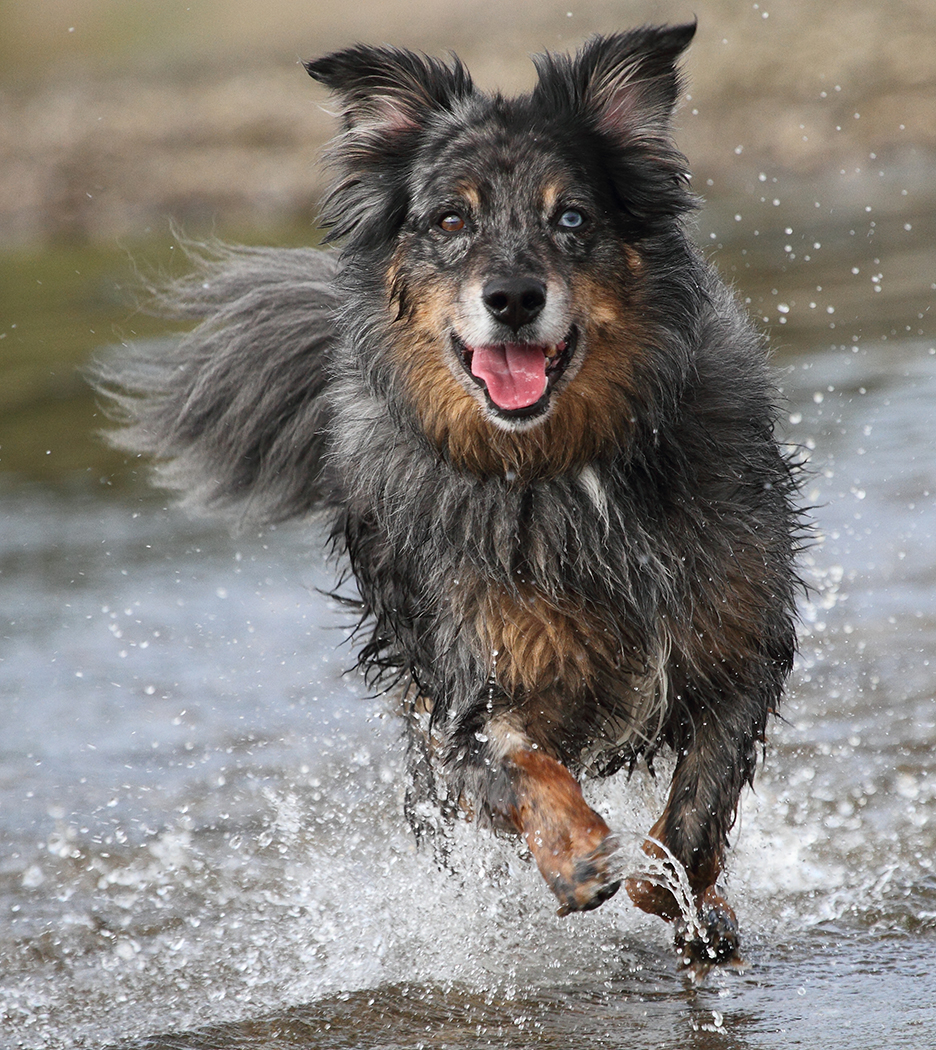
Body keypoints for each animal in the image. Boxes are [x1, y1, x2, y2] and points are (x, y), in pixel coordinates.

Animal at [93, 22, 798, 965]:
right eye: (450, 220)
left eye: (572, 218)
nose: (513, 297)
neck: (562, 469)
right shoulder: (467, 686)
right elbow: (517, 762)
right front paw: (580, 854)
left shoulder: (739, 641)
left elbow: (697, 809)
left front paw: (679, 894)